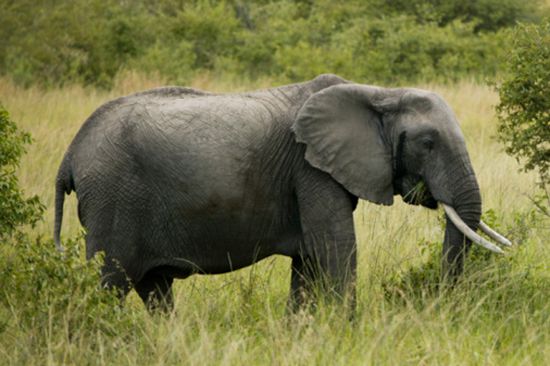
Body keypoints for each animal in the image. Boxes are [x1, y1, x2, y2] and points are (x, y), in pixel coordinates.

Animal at [52, 73, 512, 312]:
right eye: (428, 143)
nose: (442, 306)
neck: (378, 92)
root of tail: (70, 154)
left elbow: (308, 263)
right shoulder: (310, 170)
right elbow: (336, 250)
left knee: (155, 291)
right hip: (114, 198)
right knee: (108, 281)